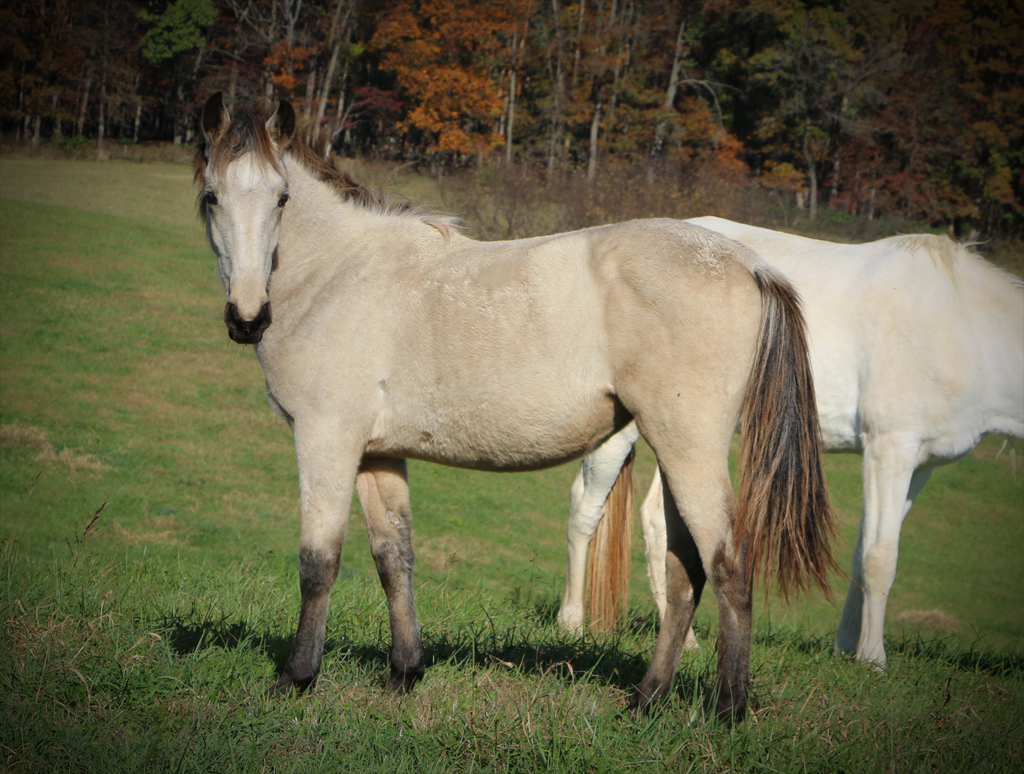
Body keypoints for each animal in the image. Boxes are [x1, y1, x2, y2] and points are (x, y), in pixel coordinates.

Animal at [193, 95, 839, 720]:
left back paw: (729, 708)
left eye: (281, 197)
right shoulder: (376, 455)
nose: (247, 317)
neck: (339, 273)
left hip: (690, 449)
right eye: (211, 196)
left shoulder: (325, 439)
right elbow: (393, 557)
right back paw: (647, 700)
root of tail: (750, 264)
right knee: (686, 572)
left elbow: (317, 562)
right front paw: (404, 674)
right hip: (675, 452)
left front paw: (296, 678)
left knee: (728, 565)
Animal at [561, 215, 1024, 667]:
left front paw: (846, 649)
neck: (963, 325)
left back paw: (685, 641)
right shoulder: (890, 449)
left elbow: (863, 553)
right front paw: (873, 658)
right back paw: (573, 623)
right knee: (585, 509)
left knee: (659, 521)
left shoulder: (921, 464)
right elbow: (880, 557)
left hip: (685, 436)